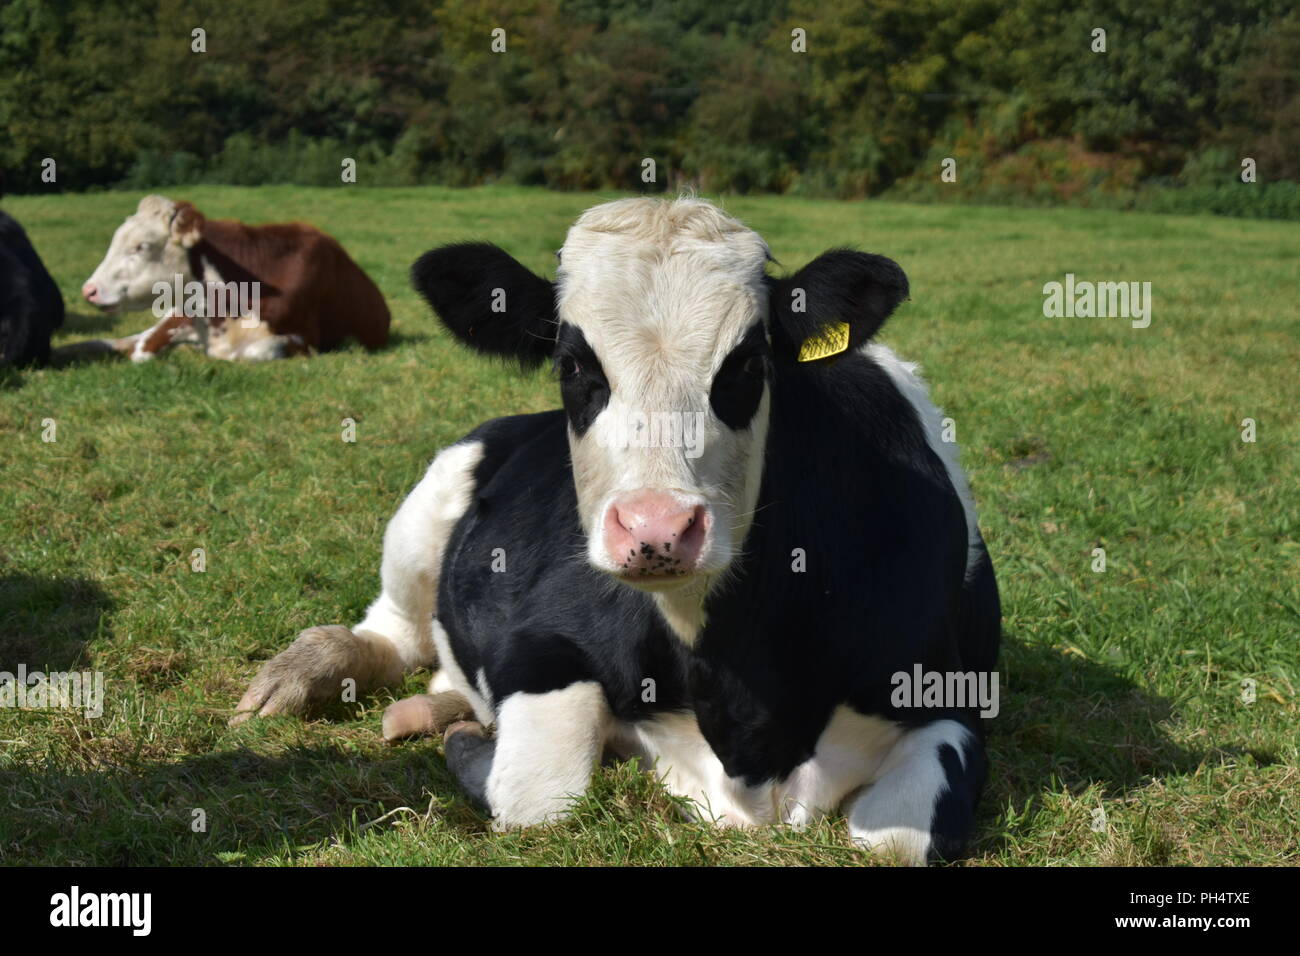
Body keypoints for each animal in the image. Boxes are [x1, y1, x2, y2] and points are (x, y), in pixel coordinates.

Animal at [231, 197, 1002, 864]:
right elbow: (539, 795)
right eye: (572, 364)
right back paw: (301, 675)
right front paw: (474, 744)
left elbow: (892, 839)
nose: (658, 527)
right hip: (429, 506)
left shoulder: (947, 697)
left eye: (748, 363)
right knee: (391, 634)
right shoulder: (540, 641)